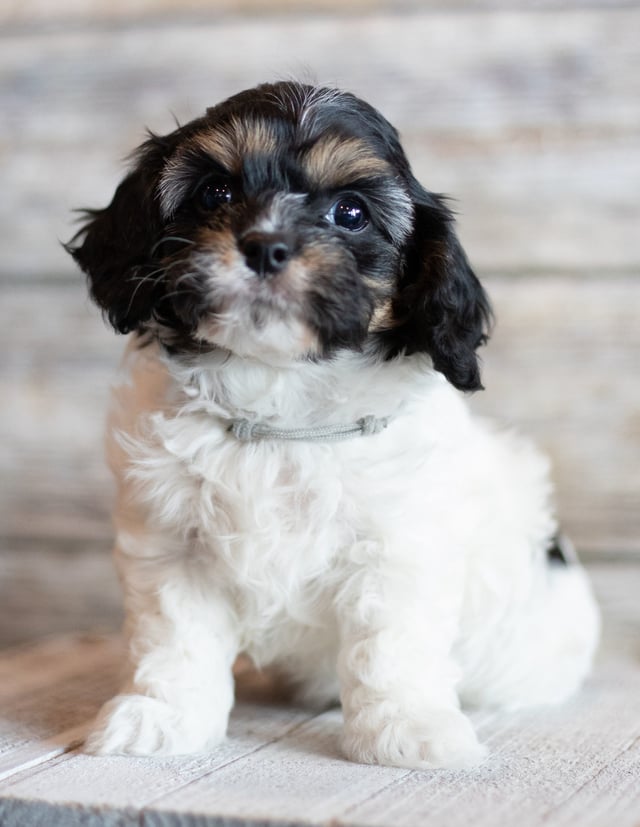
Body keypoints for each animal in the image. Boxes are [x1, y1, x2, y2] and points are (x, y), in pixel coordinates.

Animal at [66, 82, 600, 768]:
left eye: (350, 213)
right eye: (216, 193)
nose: (265, 245)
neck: (279, 407)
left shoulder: (398, 545)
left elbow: (391, 645)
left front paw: (407, 728)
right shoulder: (171, 545)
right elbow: (173, 636)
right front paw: (161, 718)